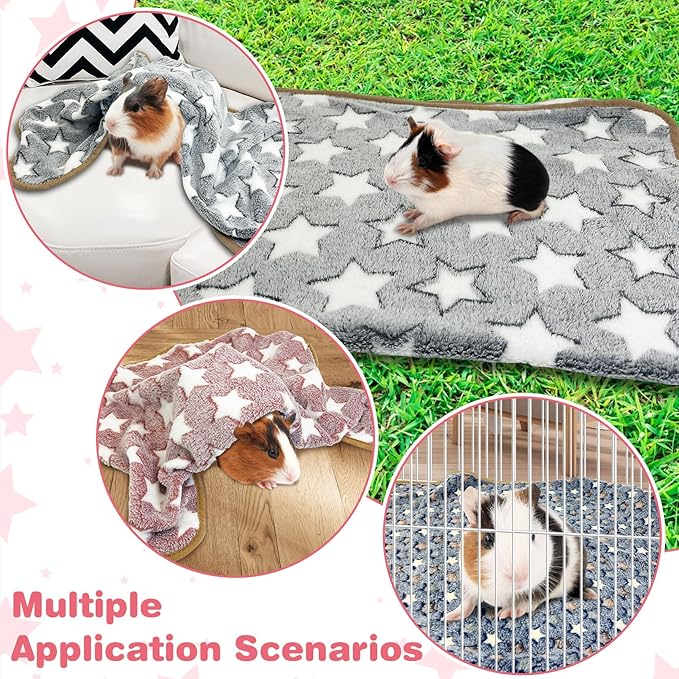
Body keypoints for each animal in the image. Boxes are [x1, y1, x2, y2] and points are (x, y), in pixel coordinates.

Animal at [383, 117, 549, 234]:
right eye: (402, 147)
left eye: (423, 161)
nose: (388, 179)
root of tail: (545, 181)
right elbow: (419, 211)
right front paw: (410, 213)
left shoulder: (440, 212)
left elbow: (422, 220)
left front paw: (404, 228)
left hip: (529, 204)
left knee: (540, 210)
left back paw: (513, 218)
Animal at [446, 484, 596, 621]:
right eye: (487, 539)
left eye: (533, 536)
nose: (520, 579)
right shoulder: (468, 583)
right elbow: (467, 601)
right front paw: (448, 617)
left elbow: (527, 601)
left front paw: (506, 614)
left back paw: (592, 595)